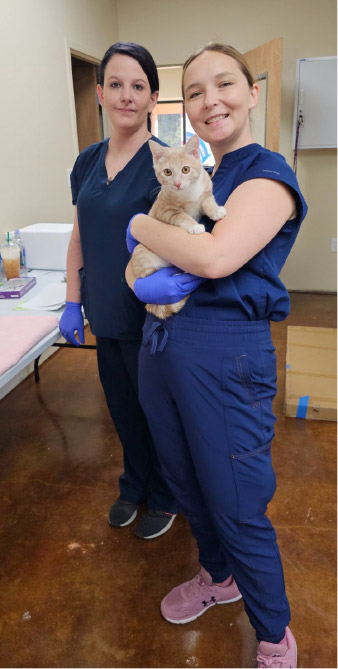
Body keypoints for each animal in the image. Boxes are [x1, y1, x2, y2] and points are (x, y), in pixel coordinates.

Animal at [131, 134, 224, 320]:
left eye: (185, 169)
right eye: (168, 172)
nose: (177, 184)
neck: (189, 192)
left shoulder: (205, 193)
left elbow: (208, 202)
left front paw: (216, 210)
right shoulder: (165, 211)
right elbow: (182, 216)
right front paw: (194, 226)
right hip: (144, 255)